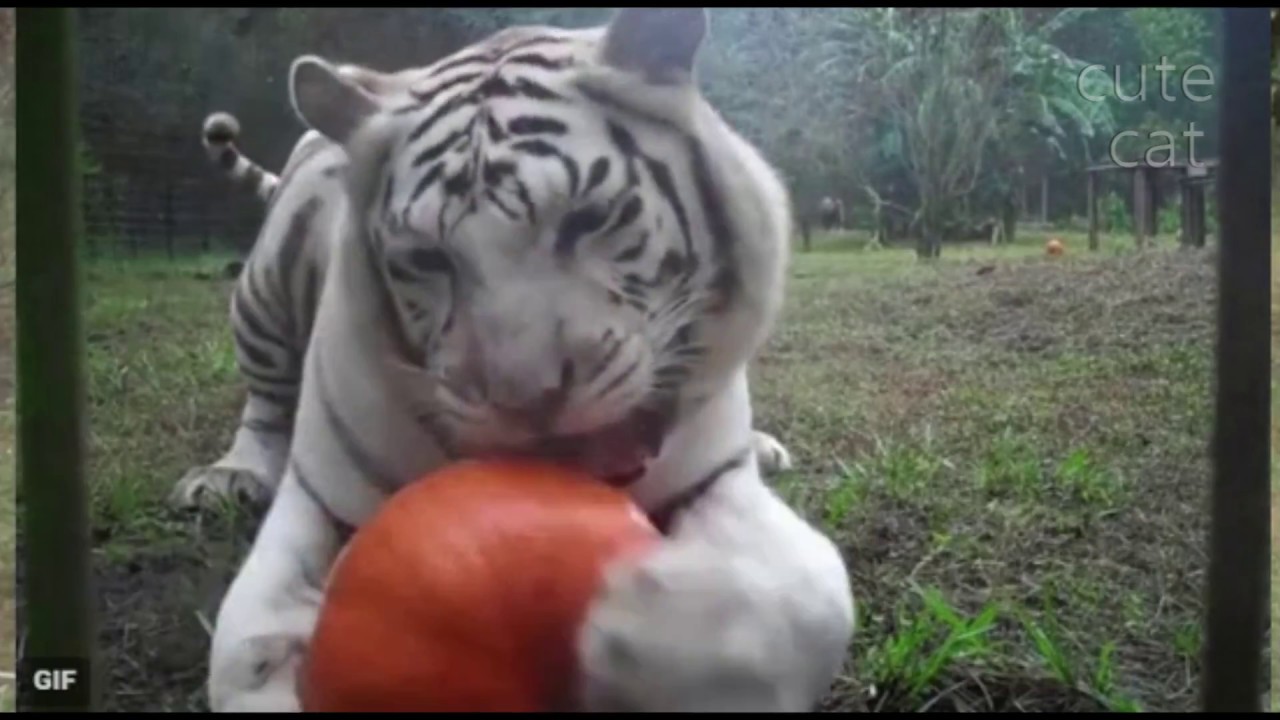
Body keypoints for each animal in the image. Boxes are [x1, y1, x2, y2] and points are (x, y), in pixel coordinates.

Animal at [180, 8, 854, 712]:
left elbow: (811, 593)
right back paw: (229, 474)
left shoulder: (718, 477)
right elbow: (245, 649)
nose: (527, 399)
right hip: (265, 282)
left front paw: (643, 624)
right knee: (263, 404)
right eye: (425, 258)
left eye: (589, 219)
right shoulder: (316, 496)